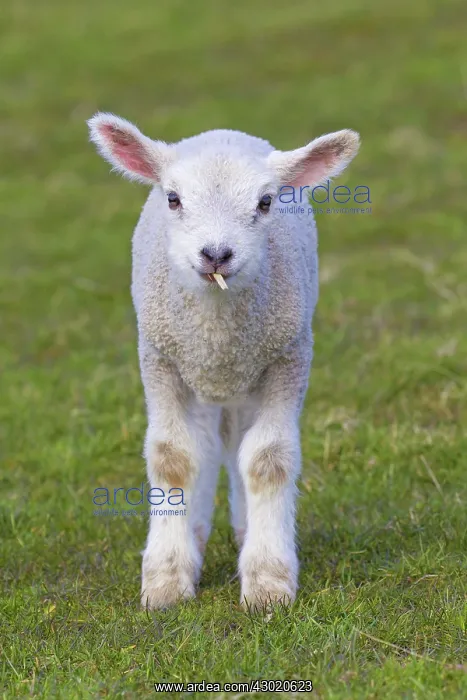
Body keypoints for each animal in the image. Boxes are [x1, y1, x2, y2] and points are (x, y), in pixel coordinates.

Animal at [87, 113, 360, 610]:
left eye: (266, 202)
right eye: (173, 198)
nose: (216, 254)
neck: (216, 338)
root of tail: (224, 132)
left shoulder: (287, 359)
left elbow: (267, 459)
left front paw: (268, 581)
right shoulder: (160, 360)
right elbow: (173, 457)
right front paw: (166, 579)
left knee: (234, 446)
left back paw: (243, 529)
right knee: (206, 444)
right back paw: (195, 533)